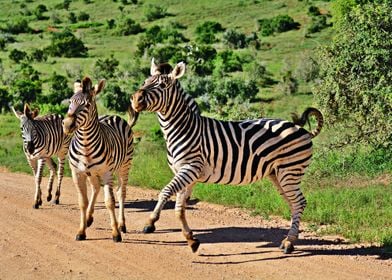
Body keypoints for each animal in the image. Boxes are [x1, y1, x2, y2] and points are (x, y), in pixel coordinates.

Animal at [63, 77, 137, 243]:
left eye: (87, 105)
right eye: (70, 101)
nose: (67, 125)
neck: (85, 146)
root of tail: (113, 116)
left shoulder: (106, 173)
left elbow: (110, 202)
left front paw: (116, 233)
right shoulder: (77, 173)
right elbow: (82, 202)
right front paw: (81, 231)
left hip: (125, 166)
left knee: (121, 193)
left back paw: (122, 225)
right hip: (92, 173)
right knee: (96, 188)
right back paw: (89, 219)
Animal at [130, 59, 324, 254]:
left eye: (162, 86)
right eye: (145, 82)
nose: (135, 99)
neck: (183, 129)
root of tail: (303, 130)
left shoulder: (190, 168)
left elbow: (165, 192)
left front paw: (150, 223)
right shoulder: (187, 174)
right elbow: (180, 208)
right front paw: (190, 239)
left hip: (290, 171)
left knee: (299, 202)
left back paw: (289, 242)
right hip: (277, 174)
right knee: (293, 203)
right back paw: (289, 240)